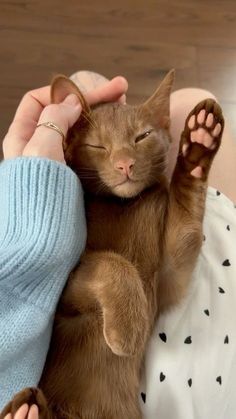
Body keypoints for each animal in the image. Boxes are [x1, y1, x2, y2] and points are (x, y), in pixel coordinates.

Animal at [0, 72, 224, 419]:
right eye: (97, 145)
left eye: (142, 136)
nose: (125, 164)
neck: (123, 206)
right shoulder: (62, 295)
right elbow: (111, 261)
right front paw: (129, 330)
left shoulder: (171, 273)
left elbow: (187, 224)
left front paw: (199, 144)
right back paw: (22, 410)